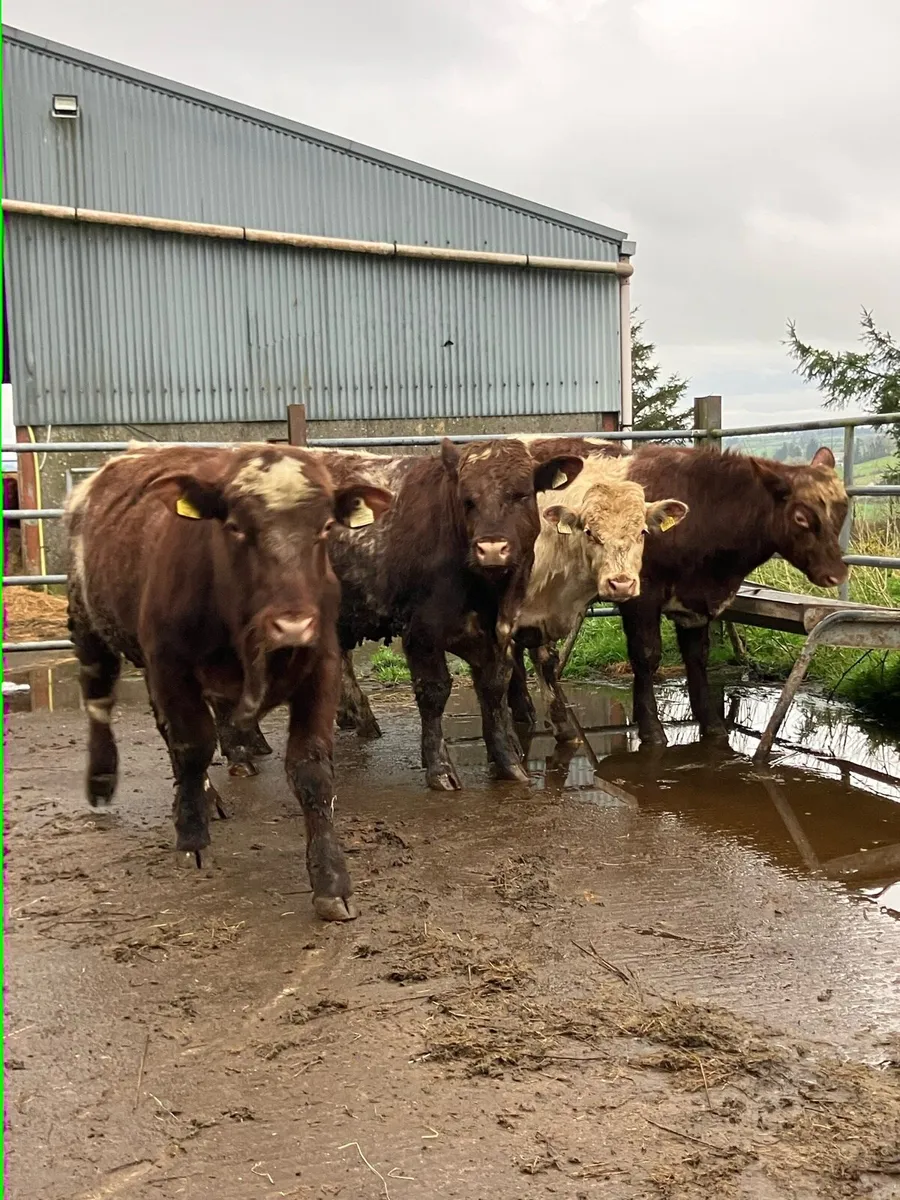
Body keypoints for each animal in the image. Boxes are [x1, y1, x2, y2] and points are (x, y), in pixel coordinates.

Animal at [65, 443, 391, 921]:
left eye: (325, 527)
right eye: (235, 527)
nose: (292, 625)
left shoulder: (322, 666)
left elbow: (311, 770)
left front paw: (331, 880)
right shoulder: (172, 664)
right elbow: (193, 747)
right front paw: (191, 837)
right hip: (88, 623)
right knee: (100, 701)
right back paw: (105, 779)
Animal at [215, 439, 585, 790]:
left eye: (520, 494)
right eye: (468, 500)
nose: (491, 548)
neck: (486, 594)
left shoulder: (497, 632)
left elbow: (494, 689)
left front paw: (508, 764)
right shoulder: (423, 630)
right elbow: (434, 692)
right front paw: (440, 769)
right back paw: (239, 755)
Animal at [513, 441, 849, 747]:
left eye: (843, 510)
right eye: (801, 517)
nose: (836, 573)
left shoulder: (696, 603)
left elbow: (697, 657)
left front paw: (712, 727)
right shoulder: (641, 593)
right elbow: (647, 655)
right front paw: (651, 730)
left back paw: (523, 711)